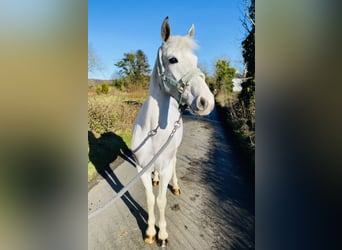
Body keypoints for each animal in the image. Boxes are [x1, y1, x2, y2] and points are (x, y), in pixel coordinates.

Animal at [131, 17, 214, 246]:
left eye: (195, 60)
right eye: (173, 59)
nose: (207, 101)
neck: (153, 129)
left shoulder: (166, 165)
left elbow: (161, 200)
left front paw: (162, 234)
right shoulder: (141, 167)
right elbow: (150, 198)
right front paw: (150, 232)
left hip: (172, 155)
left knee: (175, 166)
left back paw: (175, 186)